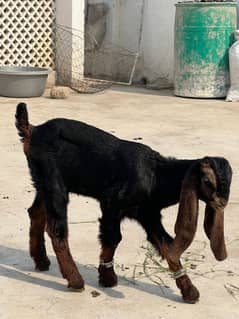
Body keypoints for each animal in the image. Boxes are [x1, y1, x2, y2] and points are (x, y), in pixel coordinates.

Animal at [15, 103, 232, 304]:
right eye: (207, 181)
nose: (222, 203)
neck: (156, 175)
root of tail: (33, 130)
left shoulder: (149, 215)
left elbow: (168, 247)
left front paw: (189, 291)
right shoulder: (111, 204)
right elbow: (113, 237)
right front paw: (108, 278)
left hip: (43, 183)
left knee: (35, 213)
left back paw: (41, 261)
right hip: (54, 183)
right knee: (57, 229)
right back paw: (75, 280)